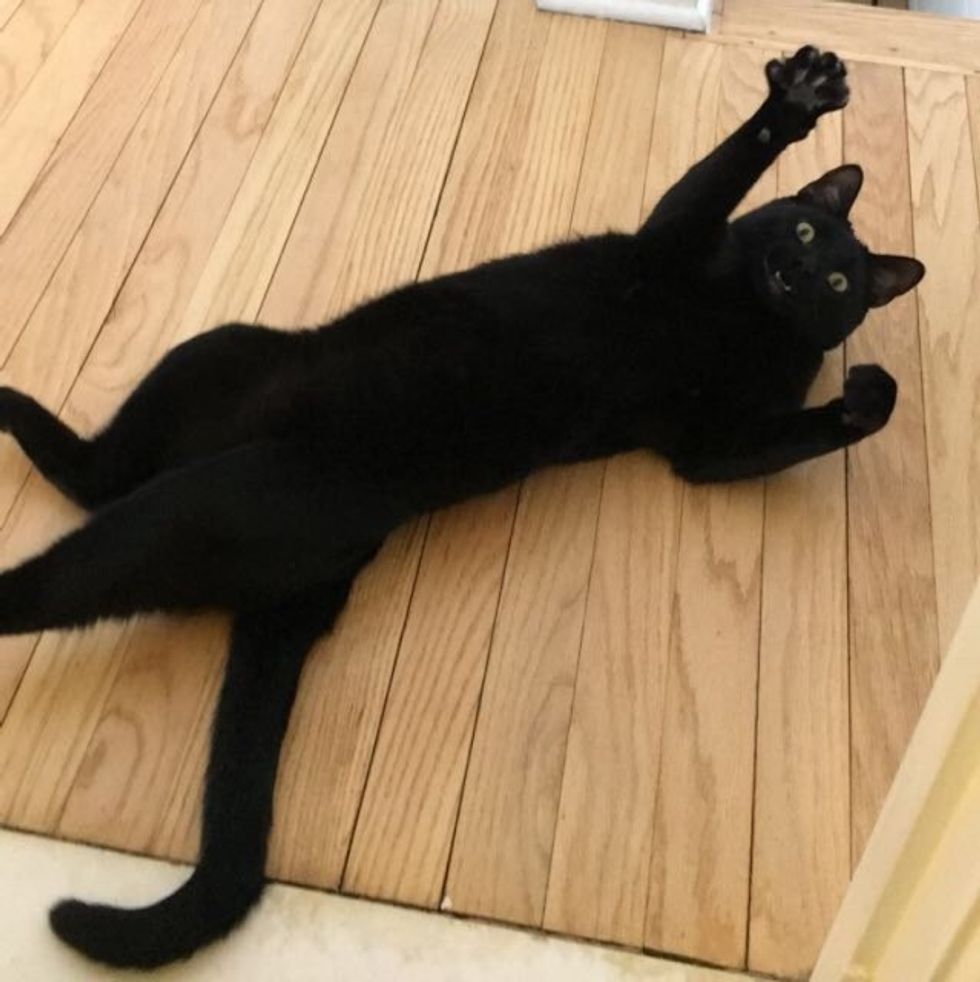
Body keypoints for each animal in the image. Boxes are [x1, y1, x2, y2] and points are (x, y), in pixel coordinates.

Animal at [0, 45, 922, 968]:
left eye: (837, 280)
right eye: (804, 234)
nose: (795, 273)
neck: (750, 316)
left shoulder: (706, 439)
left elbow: (782, 423)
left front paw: (866, 403)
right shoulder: (668, 255)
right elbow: (722, 172)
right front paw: (800, 97)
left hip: (188, 508)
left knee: (73, 539)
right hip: (216, 357)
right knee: (94, 472)